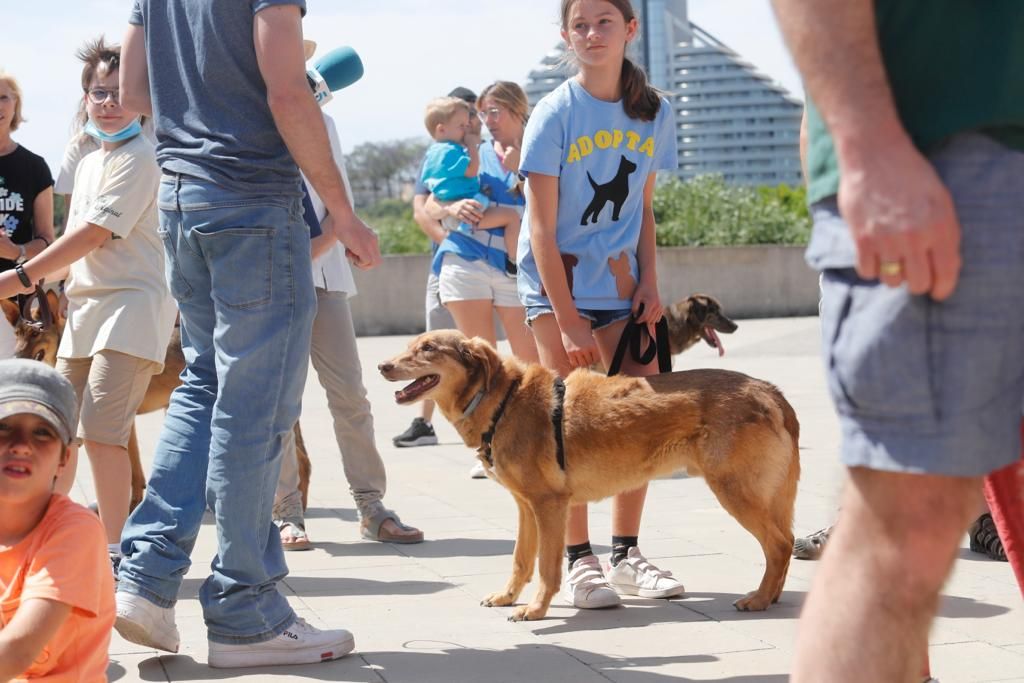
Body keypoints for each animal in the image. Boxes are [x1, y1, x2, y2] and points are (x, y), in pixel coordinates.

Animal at [378, 327, 798, 622]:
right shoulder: (526, 508)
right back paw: (772, 595)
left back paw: (760, 599)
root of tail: (769, 390)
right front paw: (507, 598)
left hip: (735, 490)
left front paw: (536, 610)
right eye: (411, 345)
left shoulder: (549, 506)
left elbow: (547, 568)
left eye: (428, 348)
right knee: (785, 543)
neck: (503, 400)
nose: (382, 366)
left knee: (778, 545)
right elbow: (520, 560)